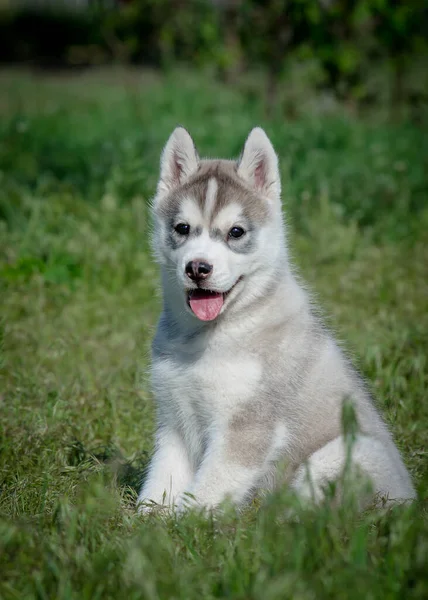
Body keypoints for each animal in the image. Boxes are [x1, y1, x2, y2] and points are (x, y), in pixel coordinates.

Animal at [137, 126, 414, 510]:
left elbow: (205, 493)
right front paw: (145, 521)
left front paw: (184, 521)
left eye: (236, 232)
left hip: (346, 453)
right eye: (182, 228)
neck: (206, 337)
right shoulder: (174, 419)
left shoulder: (246, 427)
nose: (197, 268)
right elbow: (161, 483)